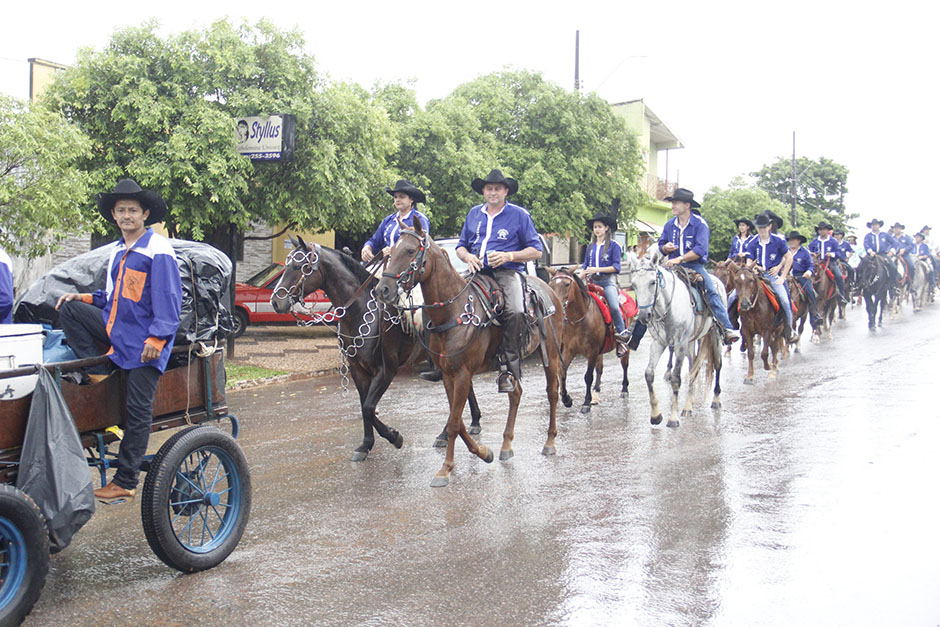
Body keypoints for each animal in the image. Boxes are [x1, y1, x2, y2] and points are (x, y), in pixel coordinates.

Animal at [268, 238, 482, 464]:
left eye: (299, 267)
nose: (276, 301)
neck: (360, 311)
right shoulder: (358, 370)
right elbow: (364, 407)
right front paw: (365, 445)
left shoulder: (386, 370)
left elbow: (369, 408)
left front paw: (394, 437)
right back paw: (473, 422)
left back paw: (445, 433)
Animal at [374, 223, 564, 488]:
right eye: (391, 251)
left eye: (410, 251)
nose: (383, 289)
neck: (454, 312)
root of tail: (549, 289)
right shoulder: (447, 375)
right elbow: (458, 420)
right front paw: (484, 453)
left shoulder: (463, 374)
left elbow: (454, 422)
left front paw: (445, 469)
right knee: (515, 393)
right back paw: (506, 445)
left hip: (552, 355)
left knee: (552, 394)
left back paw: (549, 442)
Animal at [548, 264, 636, 412]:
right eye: (551, 285)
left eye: (567, 284)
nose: (556, 307)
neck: (579, 319)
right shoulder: (569, 350)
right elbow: (562, 372)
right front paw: (566, 399)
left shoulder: (592, 351)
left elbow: (588, 376)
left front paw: (586, 403)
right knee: (600, 369)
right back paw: (596, 392)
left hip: (624, 344)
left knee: (625, 364)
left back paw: (624, 389)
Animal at [628, 254, 724, 426]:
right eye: (634, 284)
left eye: (652, 282)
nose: (644, 316)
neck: (667, 308)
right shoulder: (659, 343)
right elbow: (649, 374)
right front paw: (656, 415)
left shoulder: (680, 344)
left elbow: (675, 379)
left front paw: (673, 417)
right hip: (692, 342)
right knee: (693, 367)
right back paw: (688, 406)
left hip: (714, 335)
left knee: (718, 365)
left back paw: (716, 399)